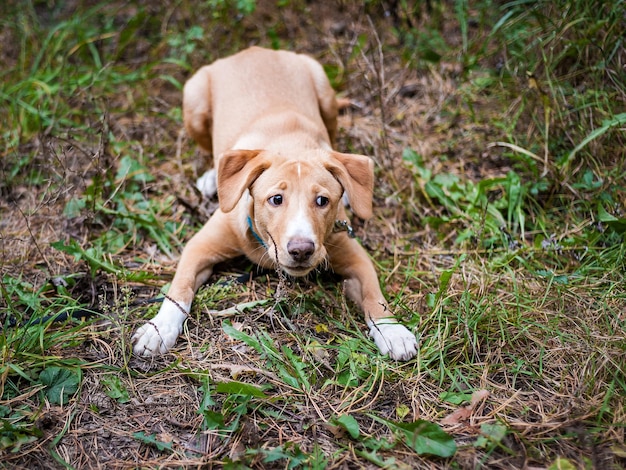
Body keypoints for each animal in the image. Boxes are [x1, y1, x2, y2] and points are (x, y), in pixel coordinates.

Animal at [131, 46, 414, 360]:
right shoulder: (198, 246)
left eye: (322, 201)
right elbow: (178, 290)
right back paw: (210, 177)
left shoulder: (354, 255)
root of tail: (253, 49)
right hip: (194, 102)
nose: (302, 250)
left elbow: (374, 295)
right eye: (276, 199)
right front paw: (159, 328)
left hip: (324, 93)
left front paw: (393, 330)